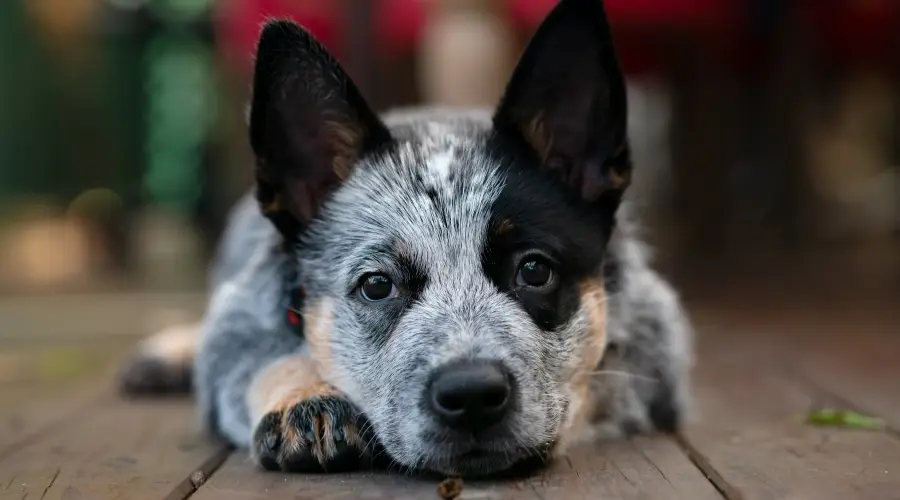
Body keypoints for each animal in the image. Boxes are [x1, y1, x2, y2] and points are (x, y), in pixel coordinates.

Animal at [118, 0, 696, 476]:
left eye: (534, 270)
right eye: (377, 285)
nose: (471, 393)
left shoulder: (656, 348)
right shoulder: (242, 319)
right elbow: (262, 354)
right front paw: (308, 400)